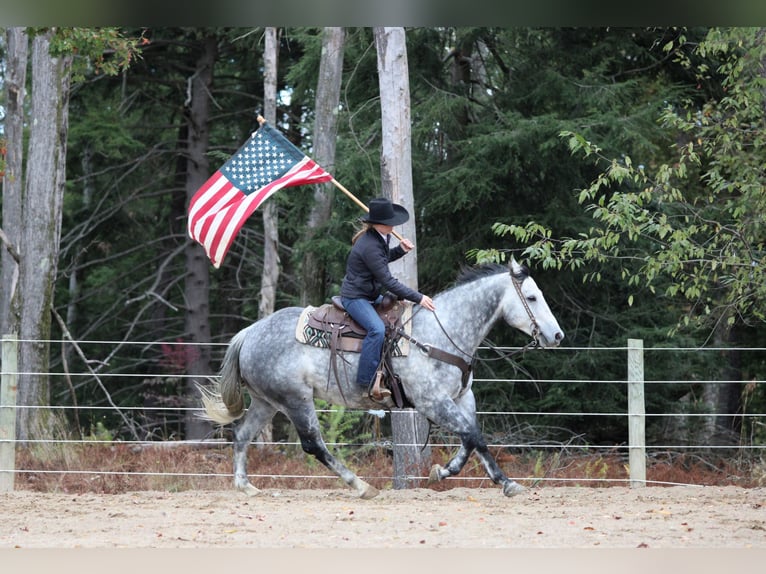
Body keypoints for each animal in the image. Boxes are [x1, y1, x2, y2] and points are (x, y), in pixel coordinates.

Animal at [199, 258, 564, 499]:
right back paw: (361, 486)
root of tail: (248, 333)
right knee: (314, 444)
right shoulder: (432, 402)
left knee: (242, 435)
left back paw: (245, 486)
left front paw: (446, 472)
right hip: (295, 400)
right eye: (532, 297)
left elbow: (471, 438)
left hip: (267, 401)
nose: (557, 335)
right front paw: (503, 482)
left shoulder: (461, 398)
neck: (441, 330)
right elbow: (474, 436)